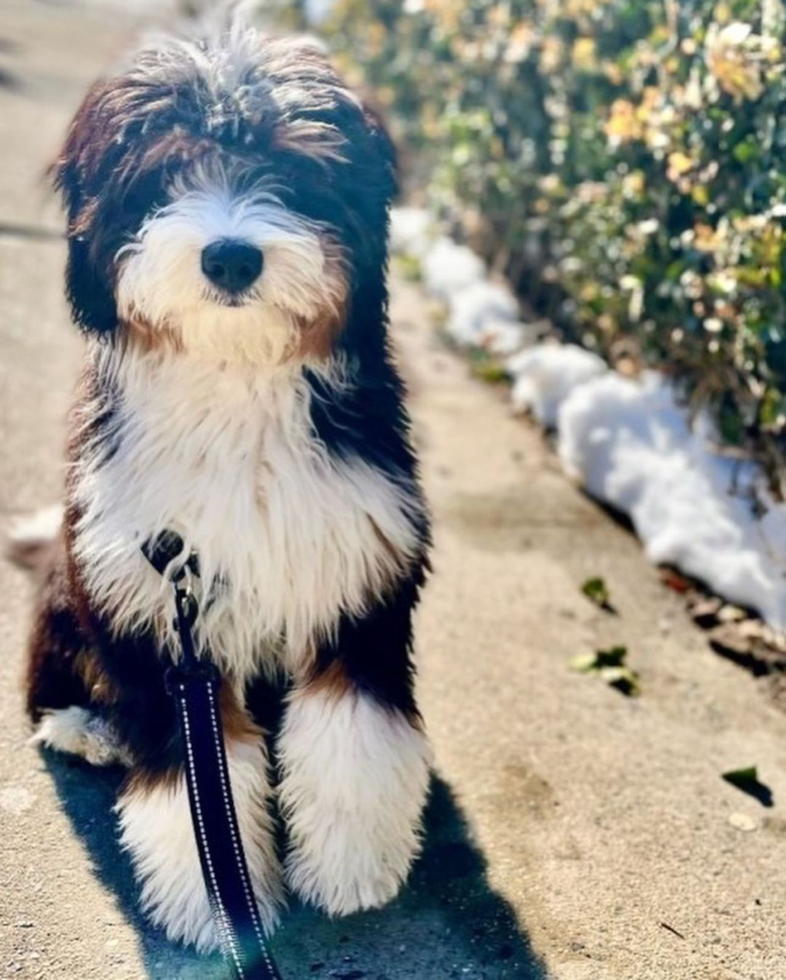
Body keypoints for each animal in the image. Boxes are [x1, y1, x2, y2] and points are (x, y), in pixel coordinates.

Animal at [18, 23, 432, 952]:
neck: (237, 378)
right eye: (166, 175)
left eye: (294, 172)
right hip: (71, 583)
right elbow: (192, 780)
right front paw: (216, 906)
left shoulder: (360, 567)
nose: (233, 256)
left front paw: (349, 868)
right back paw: (85, 726)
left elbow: (352, 733)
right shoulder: (154, 607)